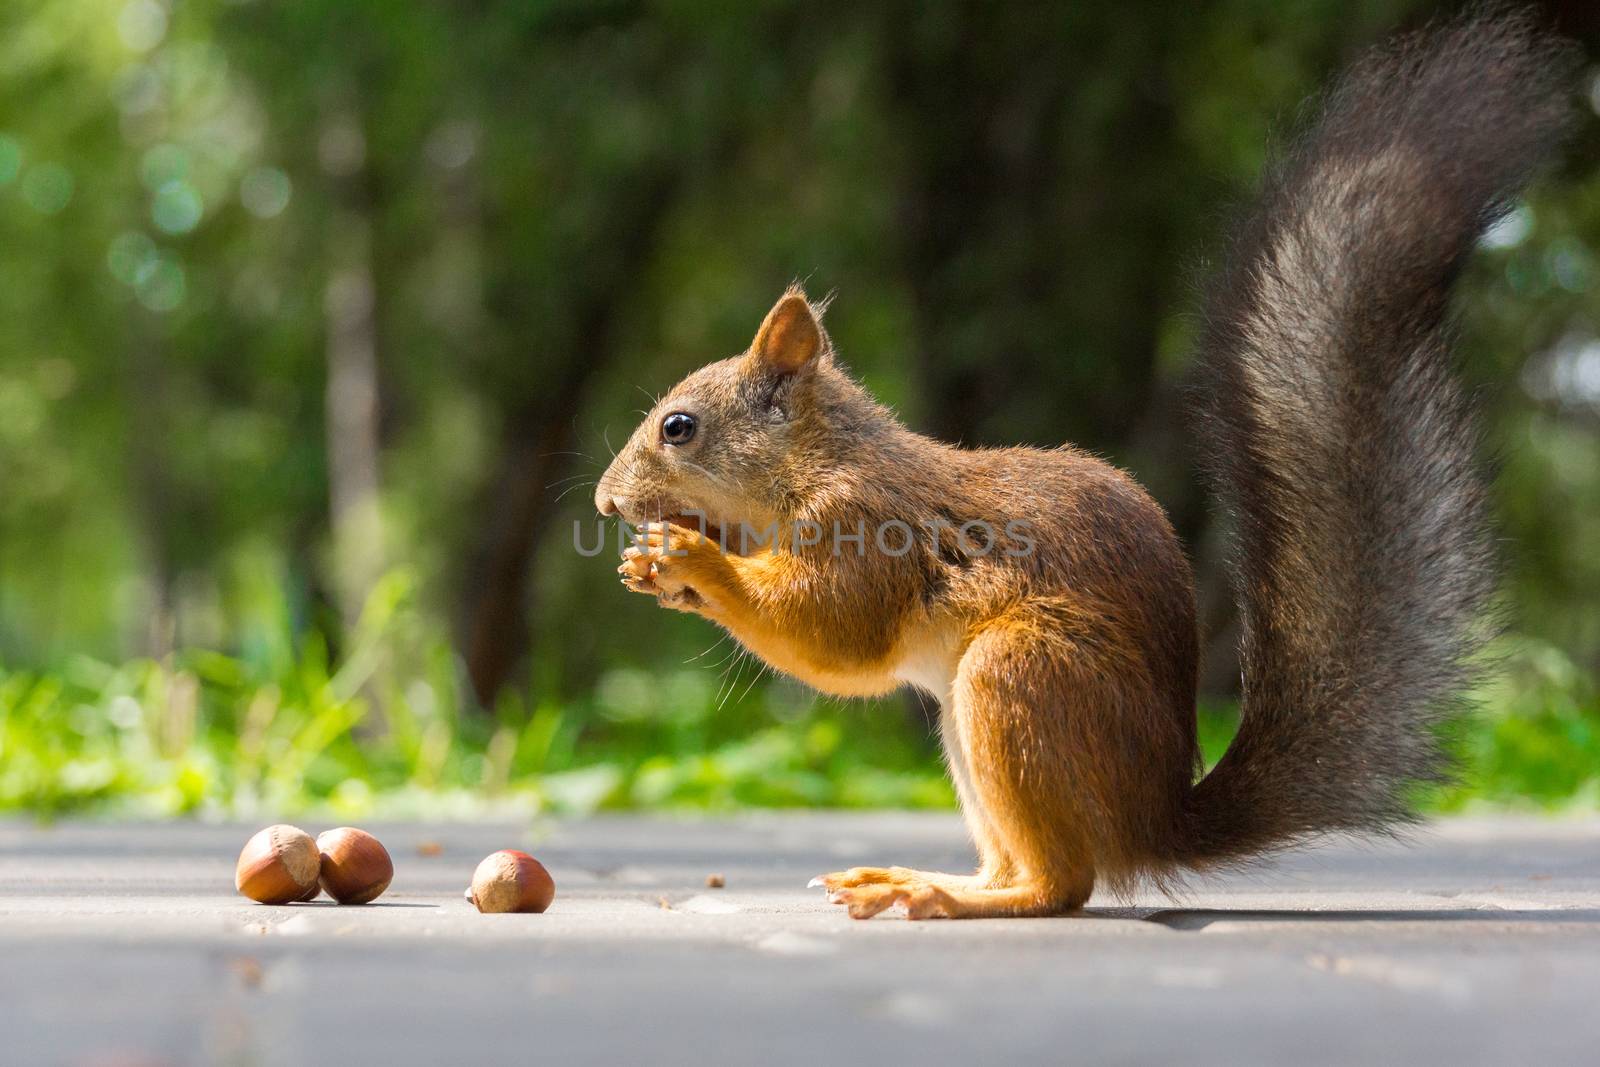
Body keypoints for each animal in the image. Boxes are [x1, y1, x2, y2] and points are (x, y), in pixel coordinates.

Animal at [592, 14, 1574, 921]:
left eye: (678, 427)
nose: (605, 503)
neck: (817, 462)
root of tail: (1154, 820)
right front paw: (652, 567)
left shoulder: (865, 524)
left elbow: (834, 634)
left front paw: (697, 561)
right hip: (975, 726)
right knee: (1025, 867)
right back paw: (925, 878)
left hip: (1021, 678)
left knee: (1060, 885)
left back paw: (944, 895)